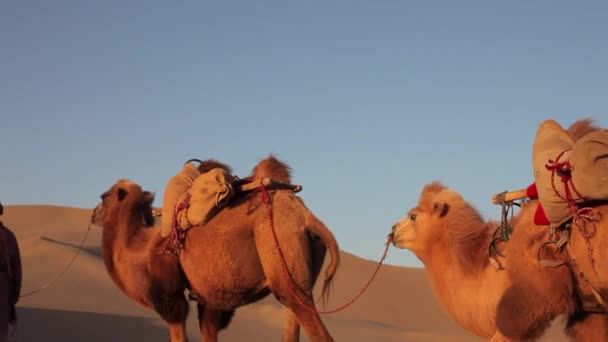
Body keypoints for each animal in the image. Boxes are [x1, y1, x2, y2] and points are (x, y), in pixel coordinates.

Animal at [91, 156, 340, 340]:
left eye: (104, 197)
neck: (142, 251)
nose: (93, 214)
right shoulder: (210, 299)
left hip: (280, 250)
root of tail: (305, 216)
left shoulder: (172, 297)